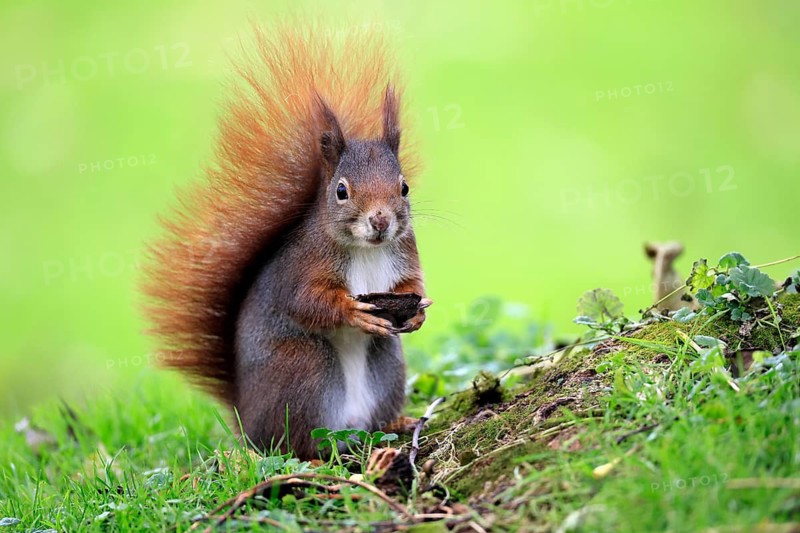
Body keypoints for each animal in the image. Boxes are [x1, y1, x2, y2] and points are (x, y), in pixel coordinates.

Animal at [141, 25, 430, 459]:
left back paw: (395, 423)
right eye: (341, 191)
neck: (366, 250)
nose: (380, 220)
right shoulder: (302, 266)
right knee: (294, 442)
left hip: (387, 364)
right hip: (304, 368)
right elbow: (305, 301)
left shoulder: (404, 253)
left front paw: (420, 310)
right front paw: (351, 311)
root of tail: (247, 420)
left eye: (404, 187)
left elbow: (412, 284)